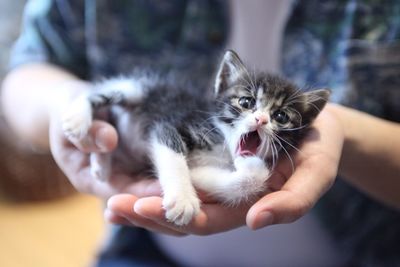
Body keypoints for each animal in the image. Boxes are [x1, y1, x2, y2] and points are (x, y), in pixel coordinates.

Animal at [62, 49, 330, 226]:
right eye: (246, 102)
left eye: (281, 116)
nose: (261, 120)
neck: (223, 145)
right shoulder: (170, 126)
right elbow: (174, 158)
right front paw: (182, 200)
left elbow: (233, 180)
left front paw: (249, 168)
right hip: (136, 88)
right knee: (96, 94)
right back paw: (77, 119)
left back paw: (101, 163)